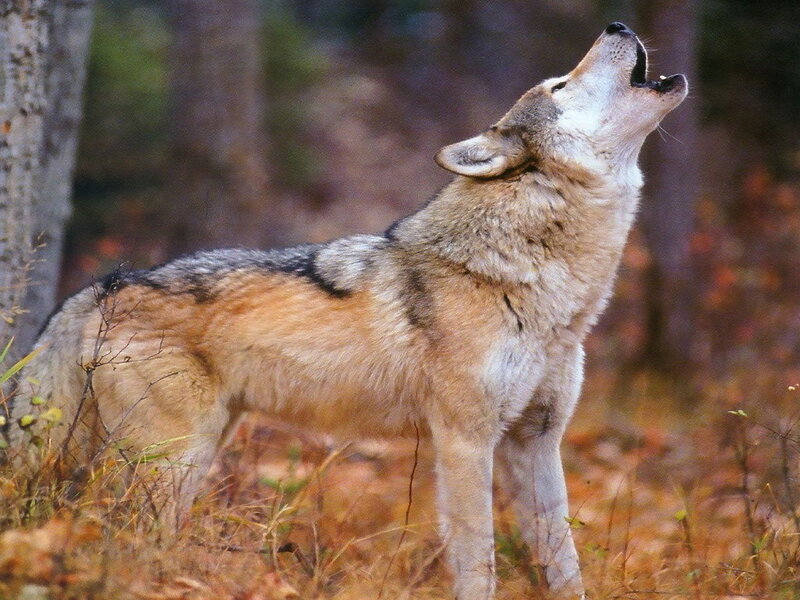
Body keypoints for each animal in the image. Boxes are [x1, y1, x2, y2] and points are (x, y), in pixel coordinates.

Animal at [9, 22, 687, 600]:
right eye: (558, 85)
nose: (617, 24)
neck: (540, 285)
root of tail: (99, 287)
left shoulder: (536, 443)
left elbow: (565, 566)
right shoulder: (464, 442)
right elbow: (480, 561)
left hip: (192, 458)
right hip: (172, 460)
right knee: (119, 535)